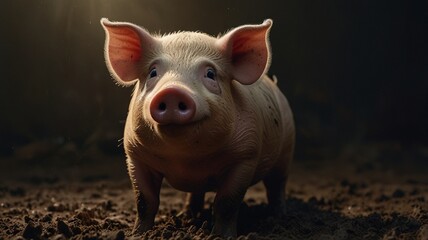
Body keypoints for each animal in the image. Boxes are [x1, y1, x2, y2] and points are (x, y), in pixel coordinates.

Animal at [100, 17, 294, 237]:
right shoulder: (135, 154)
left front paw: (221, 236)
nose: (173, 91)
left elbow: (227, 202)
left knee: (277, 185)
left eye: (210, 73)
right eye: (153, 72)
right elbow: (145, 201)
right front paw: (138, 234)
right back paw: (188, 213)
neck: (186, 159)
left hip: (286, 150)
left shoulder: (246, 155)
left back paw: (279, 216)